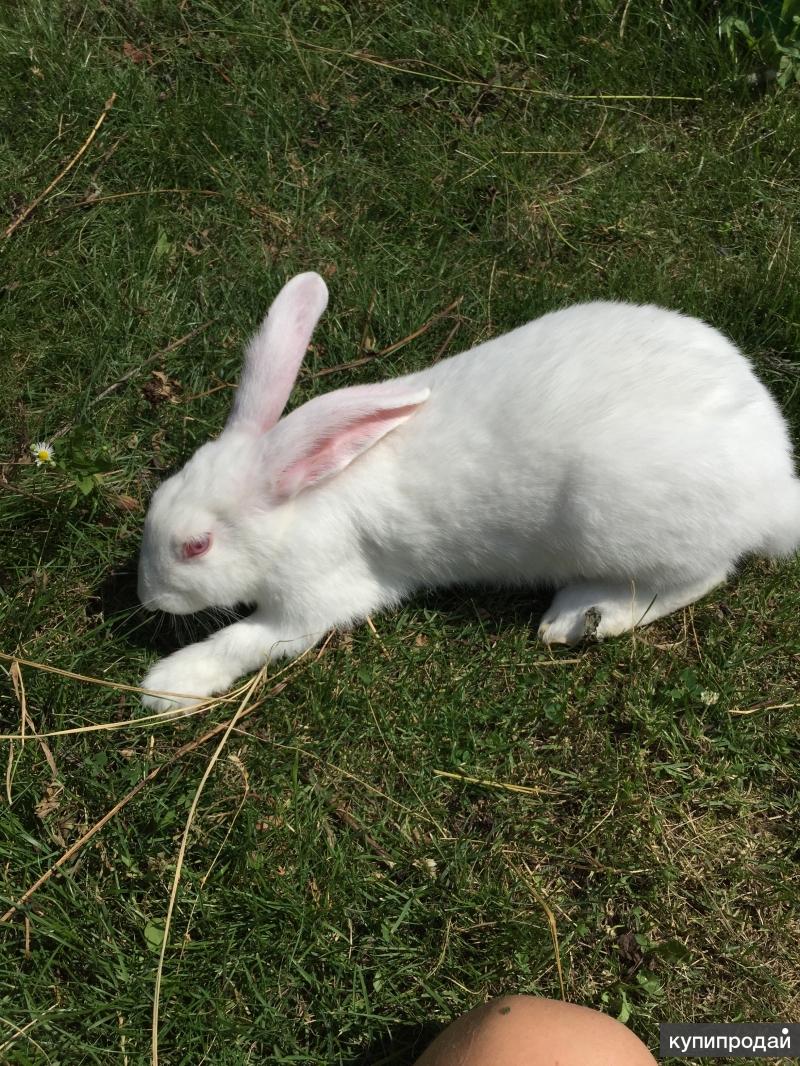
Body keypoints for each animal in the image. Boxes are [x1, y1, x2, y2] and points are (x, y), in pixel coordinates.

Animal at [137, 272, 800, 707]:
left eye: (196, 546)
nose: (148, 598)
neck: (304, 496)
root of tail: (775, 483)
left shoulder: (314, 599)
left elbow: (245, 640)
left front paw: (167, 685)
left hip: (620, 521)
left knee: (700, 576)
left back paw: (582, 616)